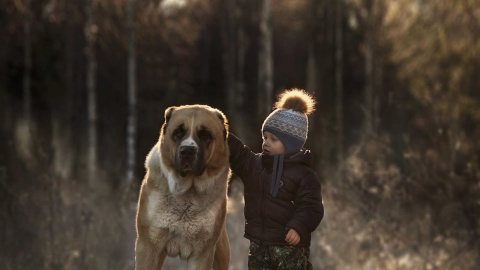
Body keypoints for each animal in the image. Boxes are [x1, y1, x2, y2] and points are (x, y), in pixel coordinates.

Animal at [136, 105, 232, 270]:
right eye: (178, 133)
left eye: (205, 135)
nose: (187, 150)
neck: (187, 194)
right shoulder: (148, 246)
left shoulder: (202, 253)